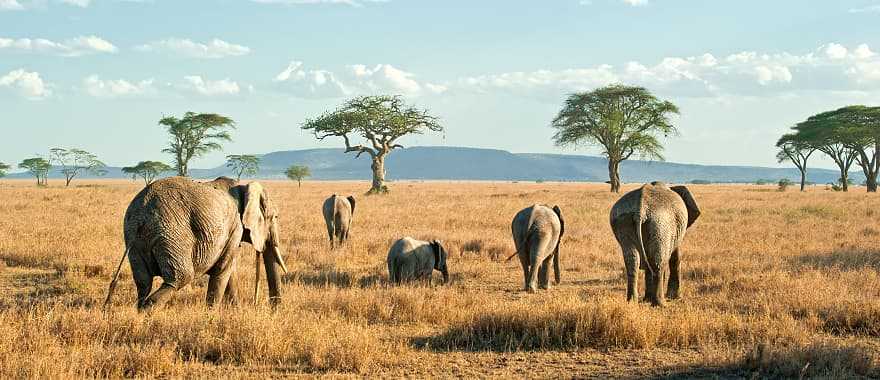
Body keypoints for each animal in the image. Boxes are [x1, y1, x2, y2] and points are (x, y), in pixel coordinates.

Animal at [102, 177, 288, 310]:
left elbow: (229, 271)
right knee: (180, 277)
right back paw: (147, 313)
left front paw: (235, 311)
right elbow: (223, 270)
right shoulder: (235, 227)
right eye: (275, 217)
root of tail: (141, 213)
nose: (274, 310)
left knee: (143, 281)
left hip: (134, 237)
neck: (243, 187)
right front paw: (210, 315)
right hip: (172, 233)